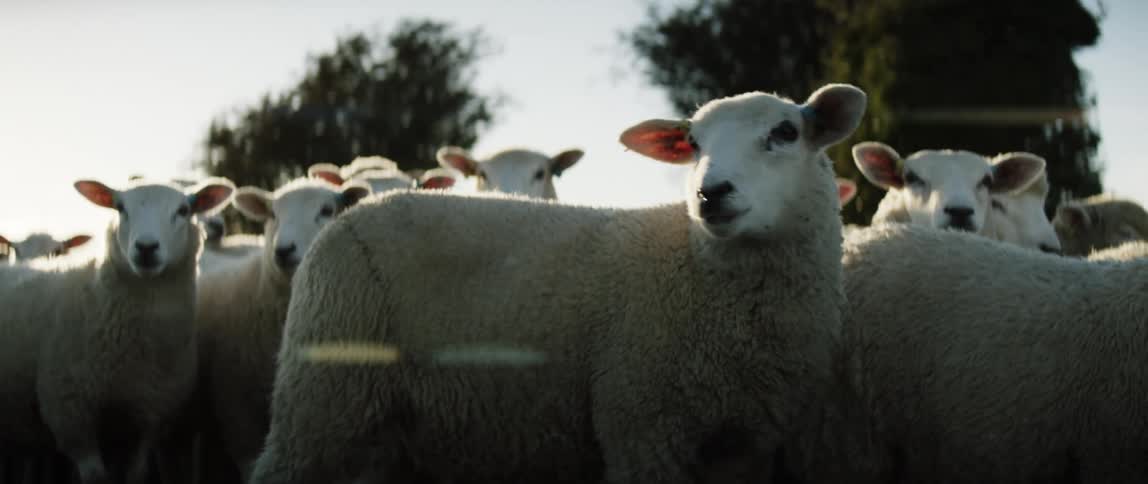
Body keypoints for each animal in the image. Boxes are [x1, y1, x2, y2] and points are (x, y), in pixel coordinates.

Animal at [0, 177, 234, 484]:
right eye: (121, 208)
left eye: (183, 210)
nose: (146, 247)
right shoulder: (73, 417)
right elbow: (96, 476)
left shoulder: (150, 417)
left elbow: (136, 473)